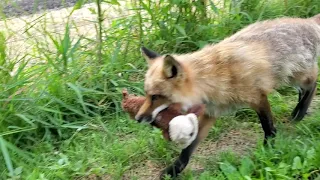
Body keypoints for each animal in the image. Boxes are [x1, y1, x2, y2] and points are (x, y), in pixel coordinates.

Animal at [135, 13, 320, 177]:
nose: (137, 118)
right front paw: (173, 171)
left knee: (313, 83)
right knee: (304, 89)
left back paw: (299, 112)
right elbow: (187, 150)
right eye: (147, 94)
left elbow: (268, 128)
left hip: (296, 76)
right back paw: (299, 110)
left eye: (155, 96)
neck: (214, 79)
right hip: (291, 78)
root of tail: (307, 21)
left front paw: (268, 152)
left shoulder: (258, 97)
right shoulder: (211, 113)